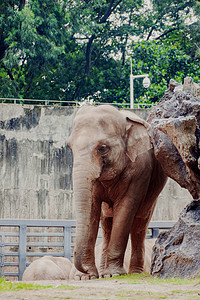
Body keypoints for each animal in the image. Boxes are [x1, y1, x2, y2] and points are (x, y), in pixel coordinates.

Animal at [68, 105, 166, 278]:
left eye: (102, 148)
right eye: (70, 146)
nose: (82, 269)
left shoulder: (140, 169)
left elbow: (125, 209)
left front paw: (114, 274)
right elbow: (92, 209)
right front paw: (86, 277)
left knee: (140, 224)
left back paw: (134, 273)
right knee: (107, 223)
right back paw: (103, 272)